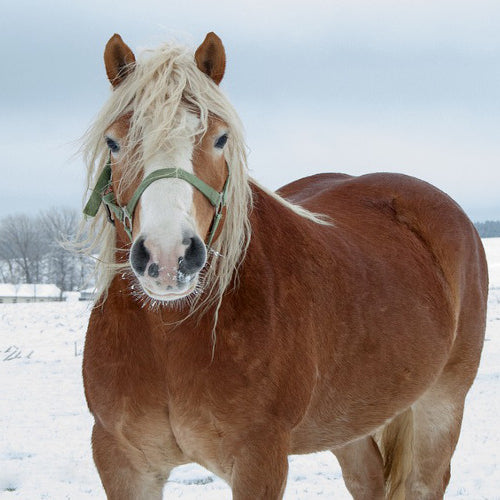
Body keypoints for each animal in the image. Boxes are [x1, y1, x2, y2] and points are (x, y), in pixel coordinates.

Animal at [81, 32, 488, 500]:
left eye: (220, 139)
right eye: (113, 142)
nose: (169, 256)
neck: (170, 336)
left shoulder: (260, 459)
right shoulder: (122, 462)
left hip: (441, 404)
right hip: (349, 419)